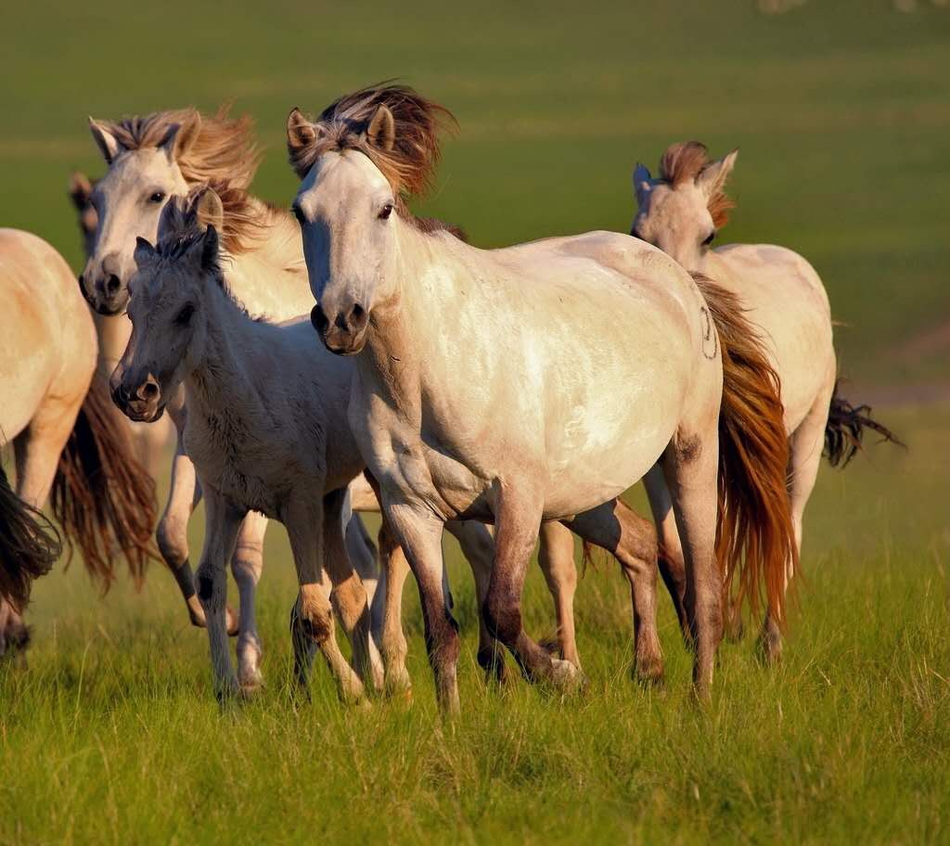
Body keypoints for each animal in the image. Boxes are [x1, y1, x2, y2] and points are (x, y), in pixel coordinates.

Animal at [288, 86, 796, 712]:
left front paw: (562, 674)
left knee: (703, 586)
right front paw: (452, 720)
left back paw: (699, 698)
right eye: (302, 212)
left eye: (382, 208)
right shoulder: (410, 509)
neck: (428, 370)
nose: (342, 319)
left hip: (689, 456)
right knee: (641, 545)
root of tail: (680, 278)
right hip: (582, 494)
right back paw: (649, 670)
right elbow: (439, 631)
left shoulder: (518, 497)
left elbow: (501, 611)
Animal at [628, 142, 904, 664]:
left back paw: (770, 642)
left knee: (788, 525)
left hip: (805, 436)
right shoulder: (663, 456)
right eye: (639, 234)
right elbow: (673, 548)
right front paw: (700, 631)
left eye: (708, 235)